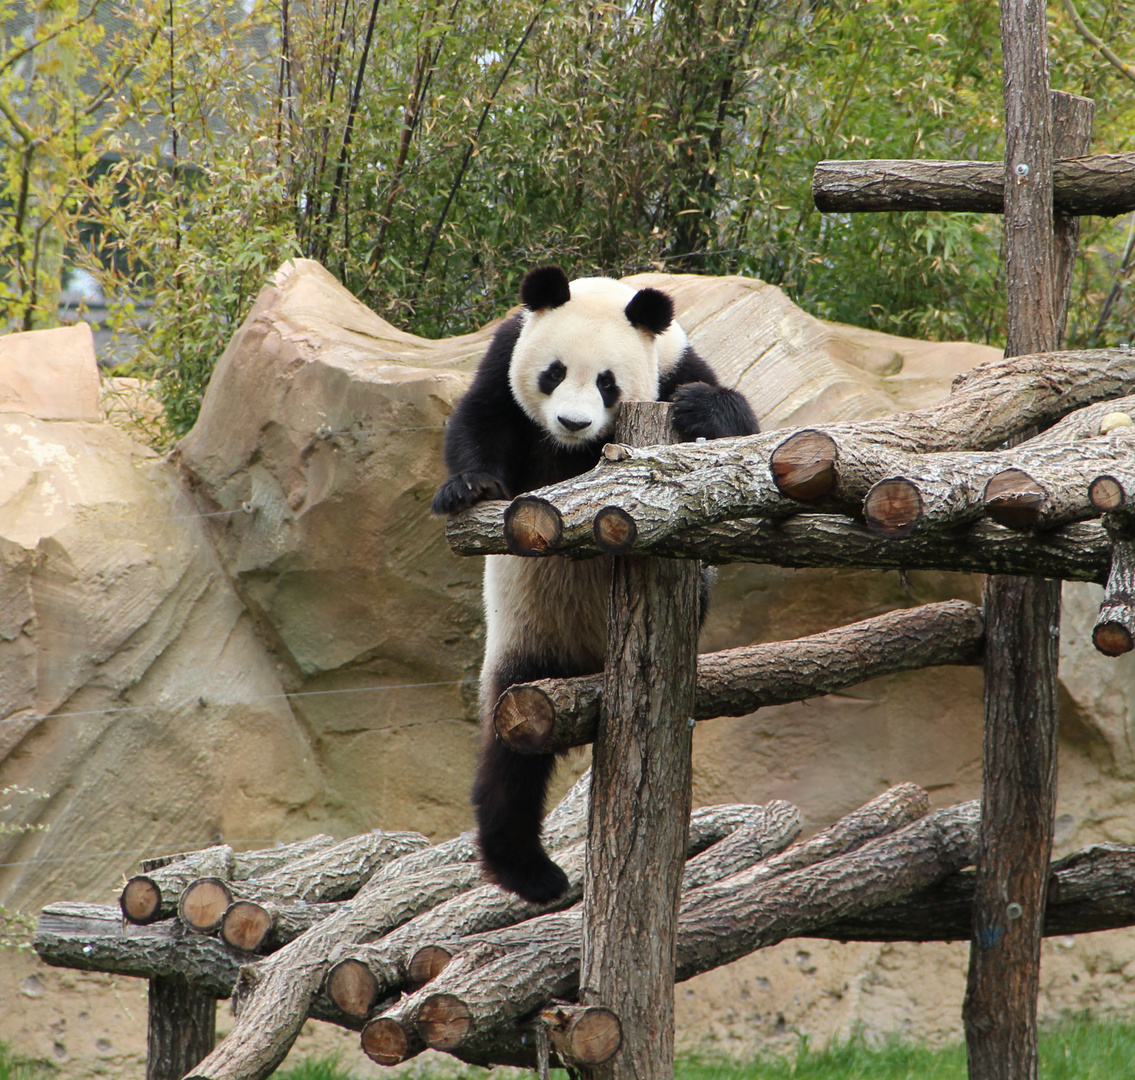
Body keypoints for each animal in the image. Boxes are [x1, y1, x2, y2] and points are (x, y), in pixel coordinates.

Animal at [433, 267, 762, 903]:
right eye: (553, 372)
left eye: (608, 384)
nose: (574, 423)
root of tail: (584, 666)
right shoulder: (504, 356)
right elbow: (478, 419)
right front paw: (468, 486)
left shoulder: (675, 363)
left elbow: (742, 444)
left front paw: (703, 410)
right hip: (525, 654)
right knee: (511, 762)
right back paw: (530, 871)